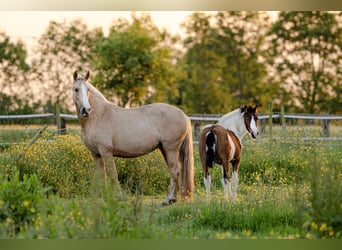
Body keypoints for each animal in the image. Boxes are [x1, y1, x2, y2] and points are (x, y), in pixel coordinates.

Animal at [72, 70, 194, 205]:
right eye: (76, 89)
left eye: (88, 90)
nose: (86, 110)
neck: (98, 116)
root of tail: (183, 115)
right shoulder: (95, 154)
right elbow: (101, 175)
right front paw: (103, 198)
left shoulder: (106, 152)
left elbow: (113, 175)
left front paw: (117, 197)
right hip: (164, 149)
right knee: (176, 171)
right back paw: (172, 199)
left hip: (171, 149)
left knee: (174, 171)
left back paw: (167, 200)